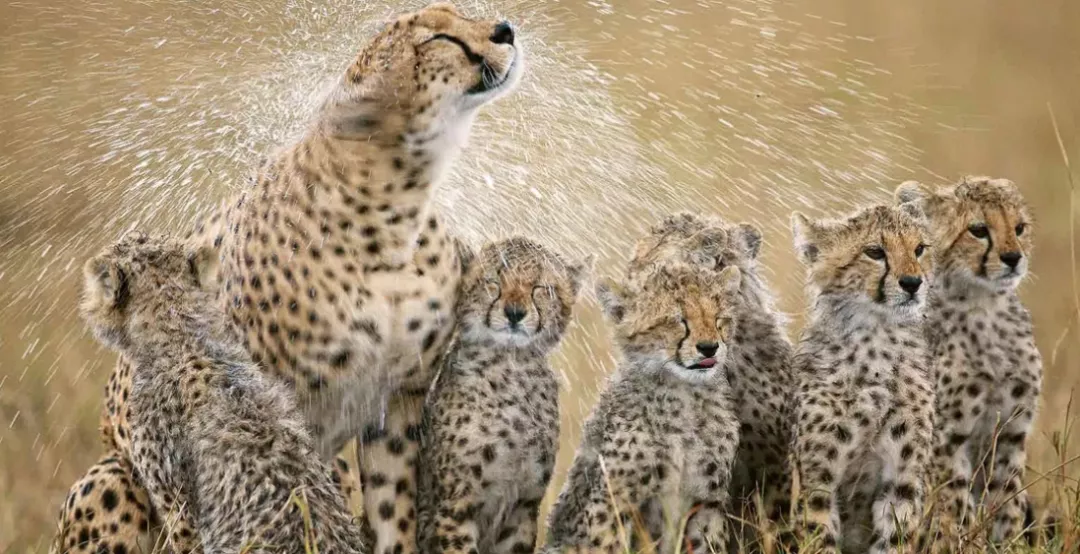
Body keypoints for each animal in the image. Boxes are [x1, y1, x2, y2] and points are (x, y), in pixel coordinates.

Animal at [414, 237, 587, 552]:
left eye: (540, 288)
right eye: (493, 282)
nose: (514, 313)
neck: (512, 368)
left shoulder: (524, 506)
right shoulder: (456, 504)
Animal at [544, 261, 747, 550]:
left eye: (719, 318)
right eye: (677, 320)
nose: (709, 348)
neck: (684, 394)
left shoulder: (707, 502)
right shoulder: (614, 500)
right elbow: (605, 543)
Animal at [786, 204, 937, 552]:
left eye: (919, 249)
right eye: (875, 252)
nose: (913, 282)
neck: (877, 337)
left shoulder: (903, 481)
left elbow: (894, 538)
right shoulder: (818, 482)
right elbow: (820, 535)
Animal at [898, 176, 1041, 544]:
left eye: (1019, 228)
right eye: (978, 230)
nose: (1013, 257)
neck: (986, 306)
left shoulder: (1012, 430)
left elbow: (1007, 497)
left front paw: (1007, 544)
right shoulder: (948, 437)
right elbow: (953, 499)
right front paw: (956, 541)